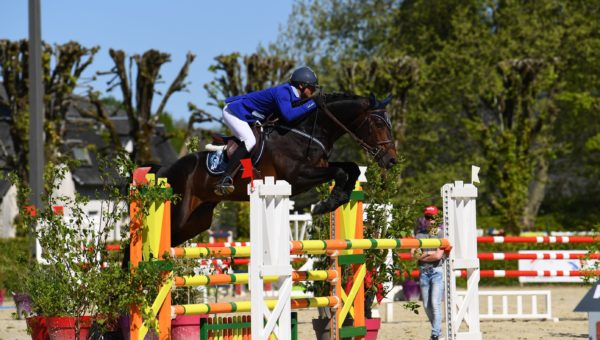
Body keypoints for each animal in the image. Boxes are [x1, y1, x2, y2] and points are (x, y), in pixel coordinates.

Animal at [158, 93, 398, 246]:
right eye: (378, 124)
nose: (392, 160)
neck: (306, 131)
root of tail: (165, 171)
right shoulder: (298, 177)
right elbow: (339, 173)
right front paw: (327, 204)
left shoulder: (318, 167)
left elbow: (351, 169)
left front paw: (338, 198)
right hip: (179, 214)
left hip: (196, 221)